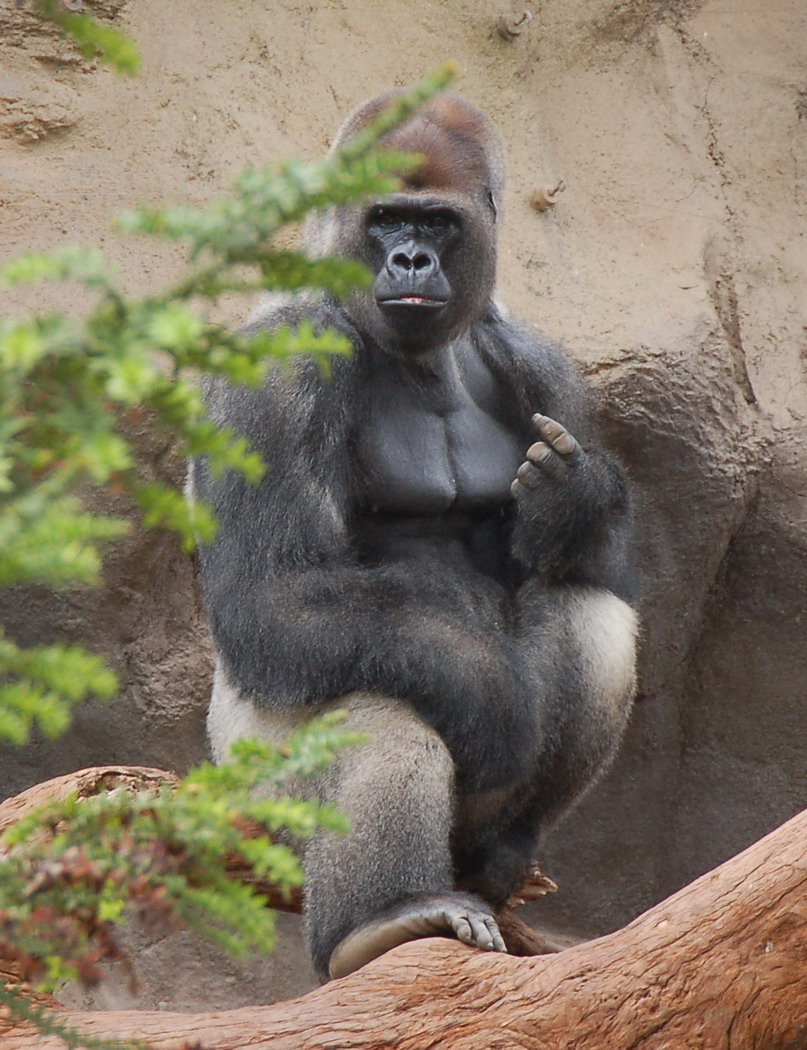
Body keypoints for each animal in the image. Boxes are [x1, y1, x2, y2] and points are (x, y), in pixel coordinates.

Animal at [188, 92, 638, 982]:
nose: (406, 259)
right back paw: (377, 921)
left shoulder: (541, 360)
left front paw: (570, 504)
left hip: (472, 833)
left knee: (587, 607)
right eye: (386, 217)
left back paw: (502, 854)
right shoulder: (275, 369)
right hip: (249, 785)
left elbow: (594, 562)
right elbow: (277, 593)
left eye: (436, 223)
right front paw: (490, 695)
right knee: (381, 700)